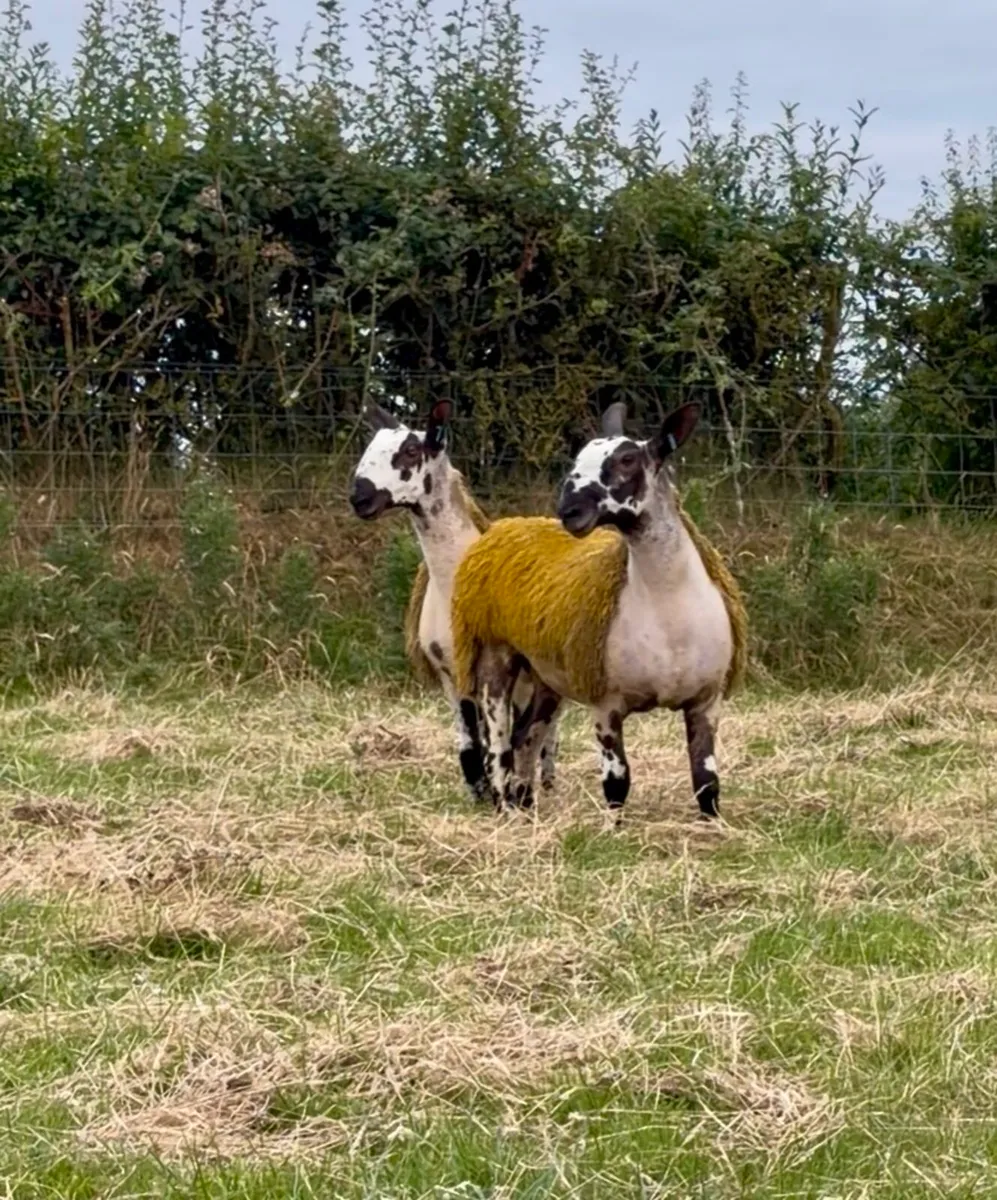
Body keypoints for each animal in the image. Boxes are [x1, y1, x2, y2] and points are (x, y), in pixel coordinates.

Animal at [349, 397, 561, 804]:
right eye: (369, 448)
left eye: (411, 451)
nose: (359, 497)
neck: (451, 585)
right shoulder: (450, 669)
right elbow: (471, 743)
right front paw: (482, 792)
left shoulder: (498, 665)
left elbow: (504, 741)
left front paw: (506, 797)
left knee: (547, 729)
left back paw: (543, 783)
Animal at [451, 400, 747, 818]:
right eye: (578, 458)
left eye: (627, 459)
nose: (570, 510)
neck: (668, 608)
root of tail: (507, 526)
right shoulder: (607, 703)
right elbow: (617, 783)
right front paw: (614, 828)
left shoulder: (706, 701)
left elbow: (706, 784)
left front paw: (711, 826)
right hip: (495, 655)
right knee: (499, 748)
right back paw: (506, 809)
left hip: (547, 677)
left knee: (526, 738)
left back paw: (526, 808)